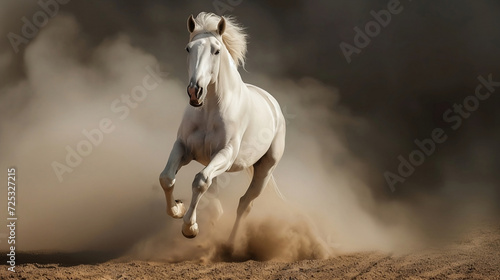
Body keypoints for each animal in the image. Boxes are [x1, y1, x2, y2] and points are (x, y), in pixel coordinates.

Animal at [160, 12, 286, 241]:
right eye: (188, 48)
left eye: (216, 50)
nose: (195, 91)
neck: (209, 111)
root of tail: (273, 104)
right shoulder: (184, 148)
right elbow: (166, 178)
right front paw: (177, 209)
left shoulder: (225, 154)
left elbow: (200, 181)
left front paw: (189, 228)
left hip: (264, 170)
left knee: (245, 204)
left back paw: (230, 244)